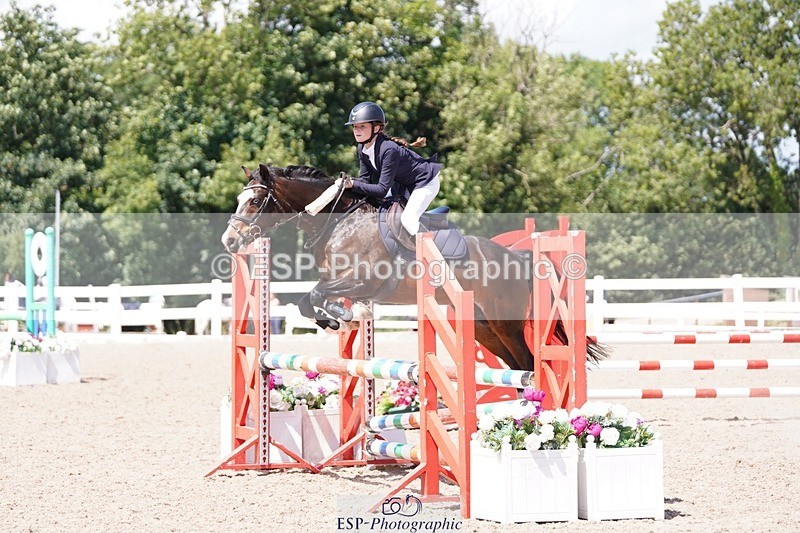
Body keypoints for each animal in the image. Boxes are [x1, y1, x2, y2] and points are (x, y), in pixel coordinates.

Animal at [221, 163, 607, 371]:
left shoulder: (360, 281)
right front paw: (341, 318)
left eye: (255, 201)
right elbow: (308, 300)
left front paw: (343, 317)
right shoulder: (343, 282)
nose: (229, 241)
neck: (338, 220)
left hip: (505, 322)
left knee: (527, 364)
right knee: (517, 367)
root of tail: (518, 259)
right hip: (483, 329)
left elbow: (314, 295)